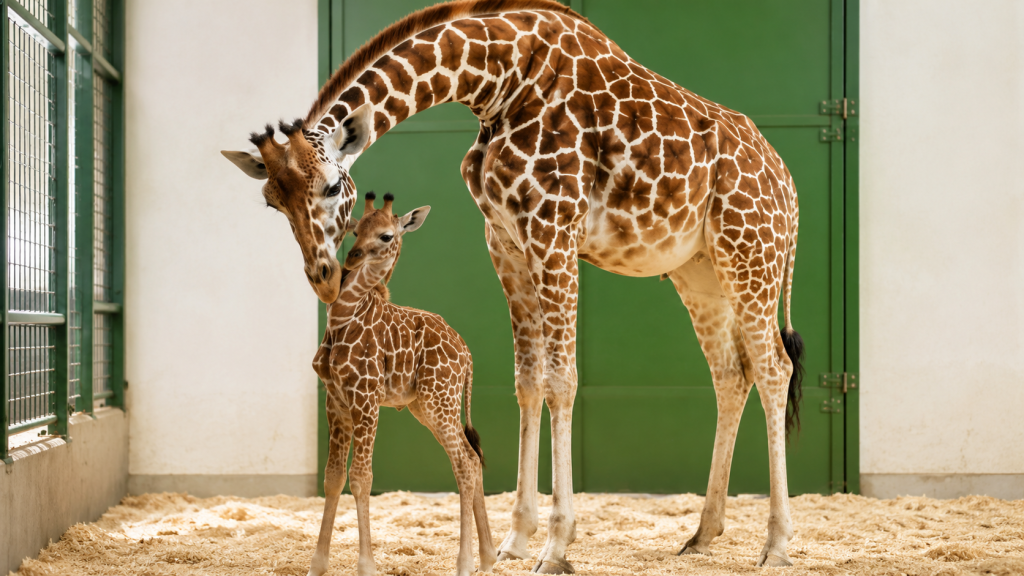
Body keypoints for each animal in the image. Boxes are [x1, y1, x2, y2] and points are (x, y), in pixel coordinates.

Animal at [305, 190, 497, 576]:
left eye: (386, 235)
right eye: (354, 230)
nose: (352, 257)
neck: (345, 315)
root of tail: (467, 355)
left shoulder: (366, 399)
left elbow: (361, 478)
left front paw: (366, 565)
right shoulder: (336, 403)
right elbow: (333, 479)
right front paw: (317, 564)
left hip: (440, 403)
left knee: (465, 464)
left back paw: (465, 562)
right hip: (426, 407)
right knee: (472, 458)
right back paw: (487, 558)